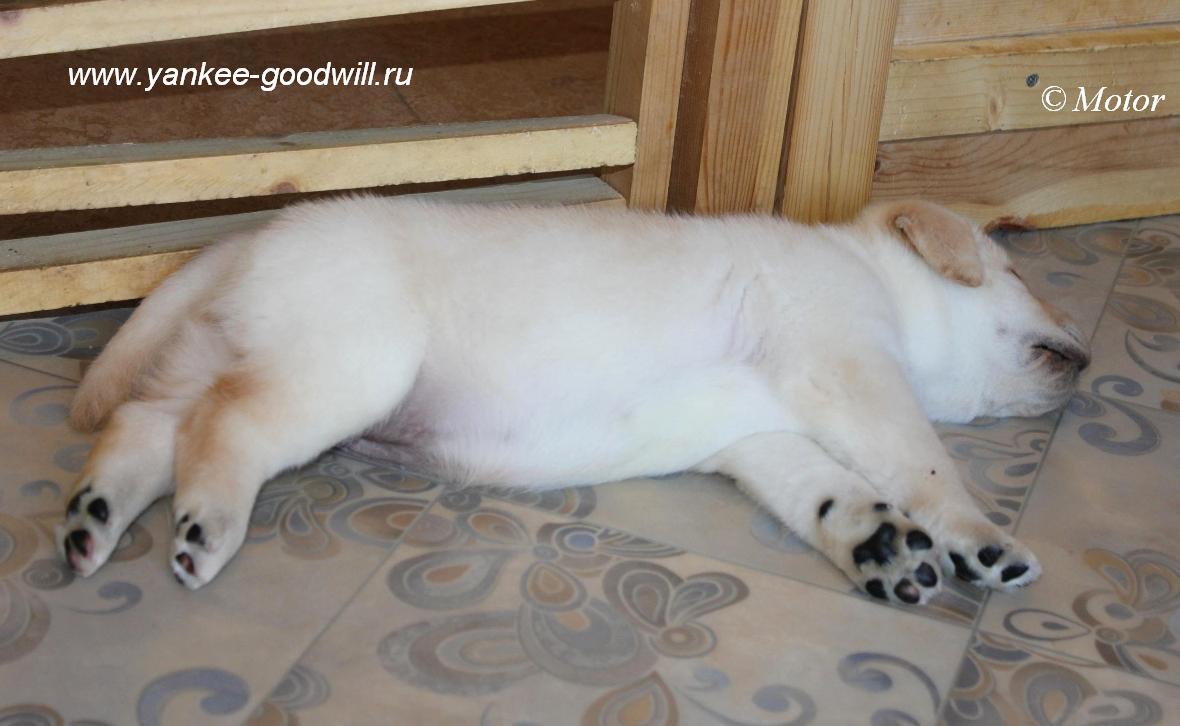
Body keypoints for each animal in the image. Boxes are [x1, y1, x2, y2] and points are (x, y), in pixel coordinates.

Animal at [57, 196, 1089, 605]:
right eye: (1017, 275)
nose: (1084, 360)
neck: (870, 271)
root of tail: (250, 238)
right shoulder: (850, 363)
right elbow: (925, 462)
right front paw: (981, 540)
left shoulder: (759, 438)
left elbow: (825, 492)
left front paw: (878, 545)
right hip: (344, 367)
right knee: (221, 426)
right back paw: (205, 528)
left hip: (228, 352)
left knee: (148, 421)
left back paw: (92, 519)